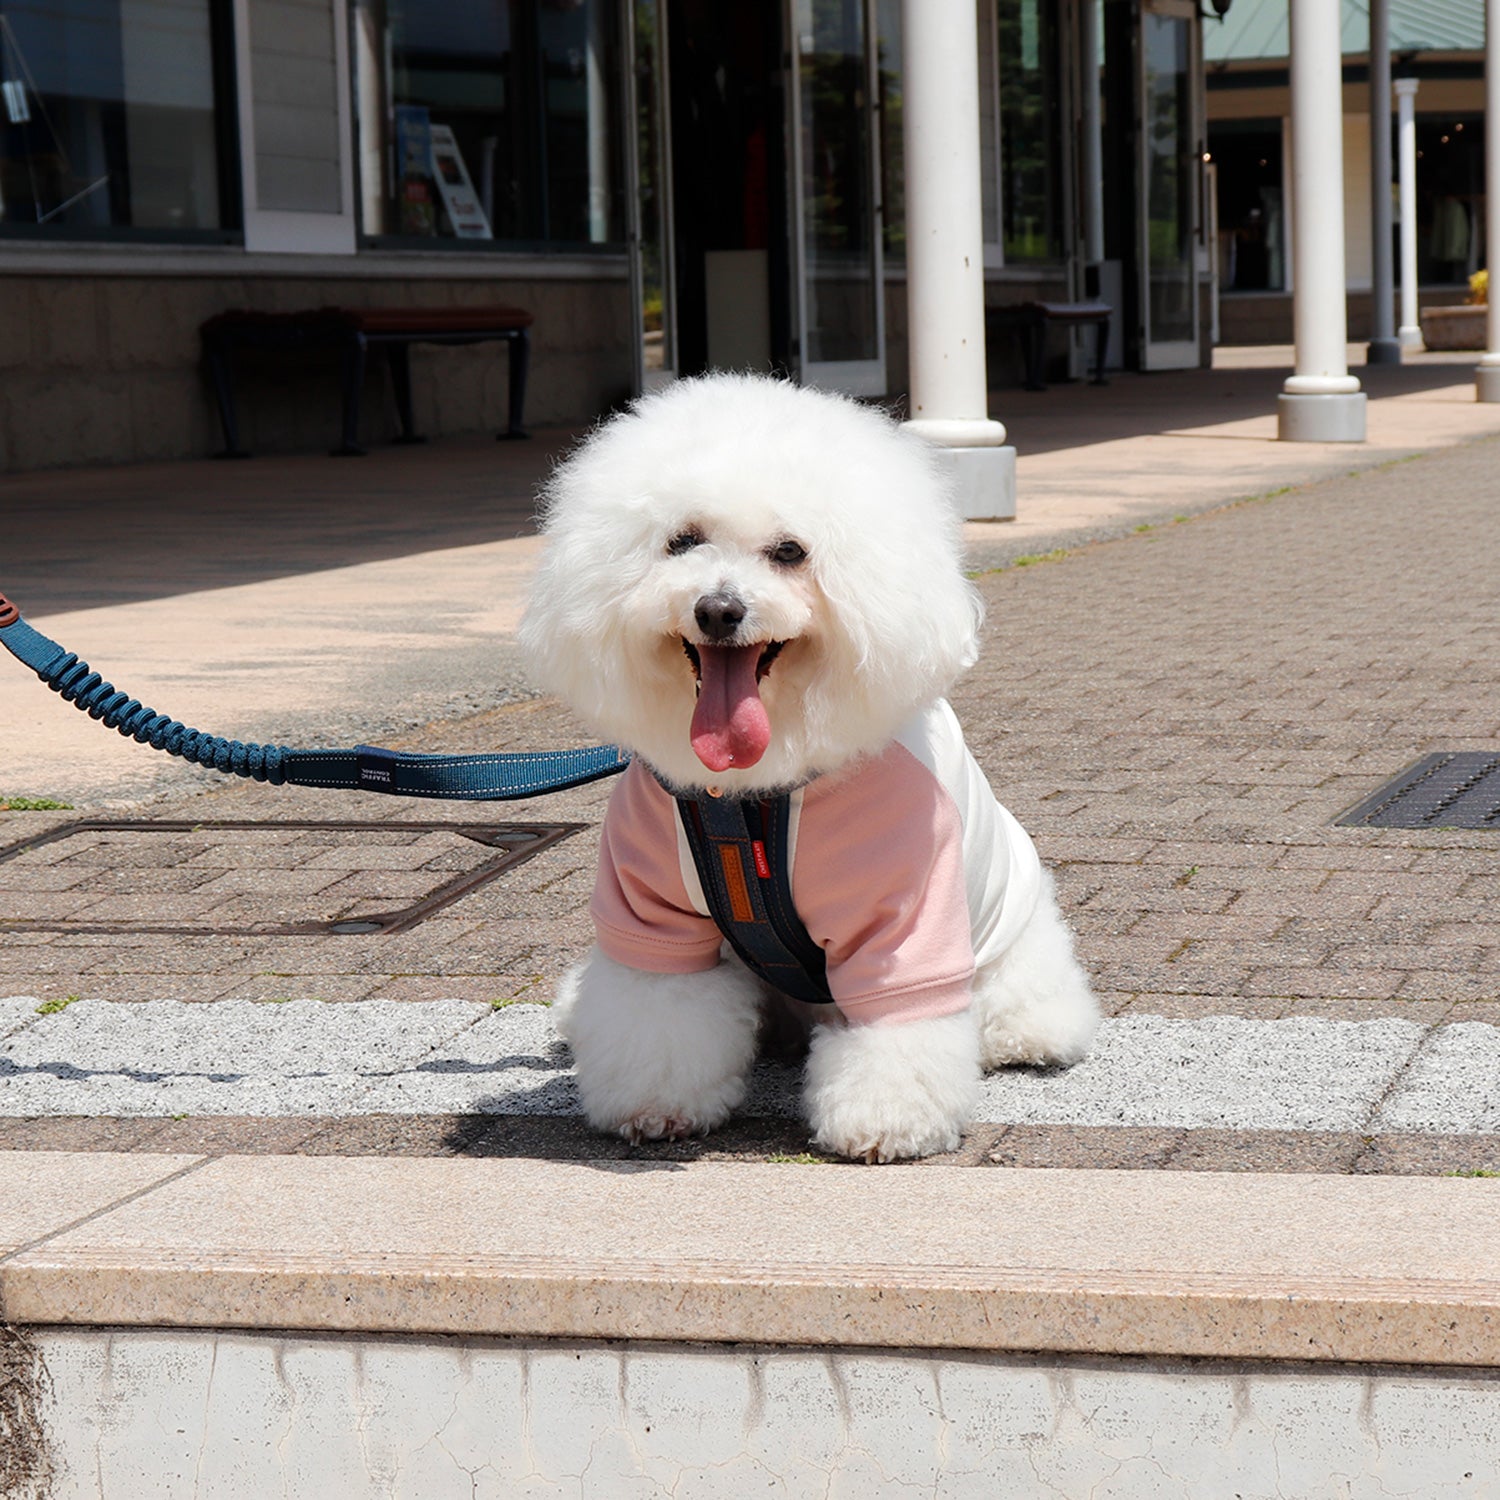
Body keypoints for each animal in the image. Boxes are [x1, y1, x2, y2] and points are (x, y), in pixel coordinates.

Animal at [522, 372, 1098, 1158]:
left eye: (790, 551)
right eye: (682, 541)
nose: (718, 609)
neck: (751, 800)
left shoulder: (904, 920)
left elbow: (896, 1030)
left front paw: (885, 1121)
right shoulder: (652, 914)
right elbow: (658, 1015)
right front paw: (655, 1105)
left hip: (1011, 946)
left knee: (1026, 1007)